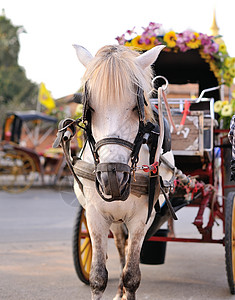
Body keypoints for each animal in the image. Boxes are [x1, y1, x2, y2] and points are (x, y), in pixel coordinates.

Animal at [73, 42, 174, 300]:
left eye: (135, 109)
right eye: (90, 110)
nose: (111, 177)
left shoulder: (142, 218)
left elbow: (132, 276)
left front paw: (126, 286)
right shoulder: (95, 214)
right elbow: (98, 277)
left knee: (127, 250)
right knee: (120, 244)